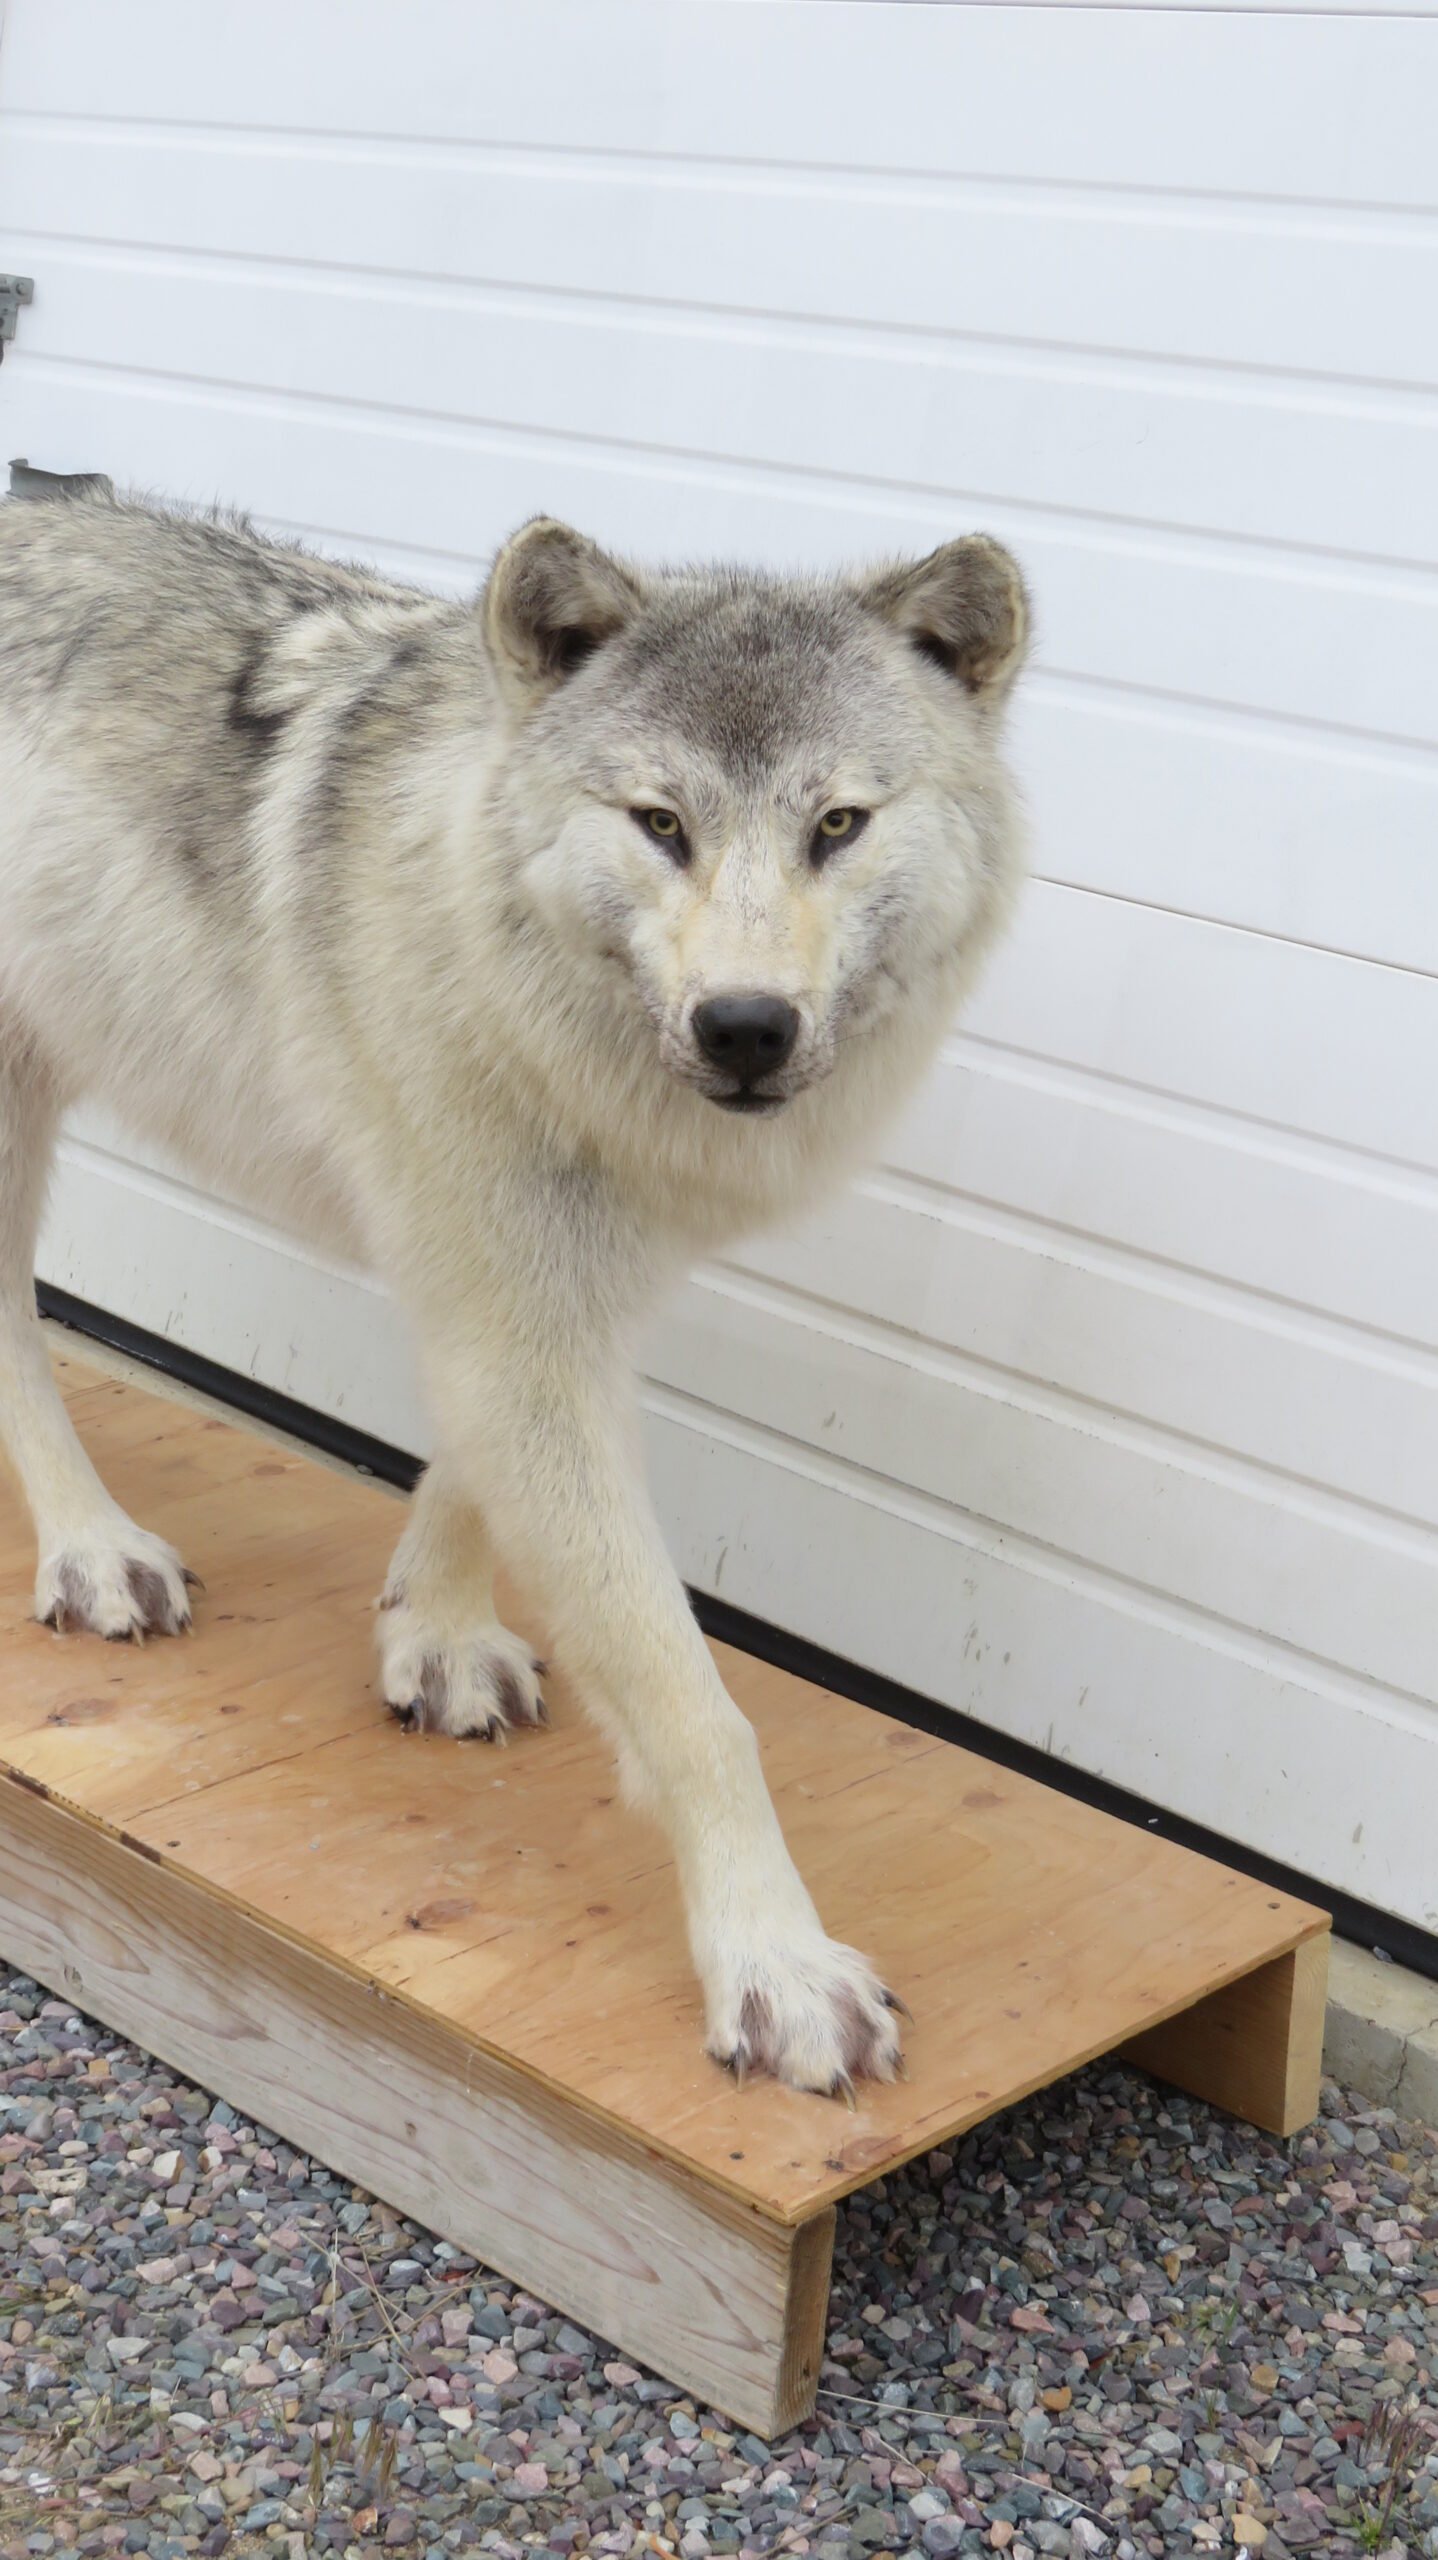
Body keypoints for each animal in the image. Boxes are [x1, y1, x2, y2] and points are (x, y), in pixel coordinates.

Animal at [0, 489, 1029, 2095]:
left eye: (837, 825)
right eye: (661, 823)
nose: (745, 1027)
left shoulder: (548, 1301)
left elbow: (469, 1483)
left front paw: (431, 1635)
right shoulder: (512, 1315)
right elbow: (697, 1708)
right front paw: (778, 1970)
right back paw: (95, 1550)